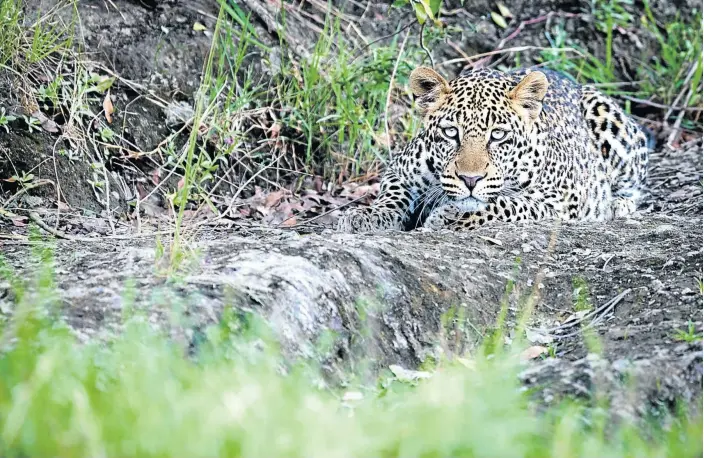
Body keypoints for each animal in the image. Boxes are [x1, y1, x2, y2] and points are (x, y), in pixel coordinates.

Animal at [338, 64, 652, 233]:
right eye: (451, 132)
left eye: (498, 135)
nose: (470, 180)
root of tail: (572, 81)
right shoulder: (401, 171)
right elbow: (391, 197)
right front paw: (365, 217)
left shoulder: (560, 203)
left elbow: (506, 204)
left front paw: (449, 216)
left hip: (610, 122)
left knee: (635, 190)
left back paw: (616, 205)